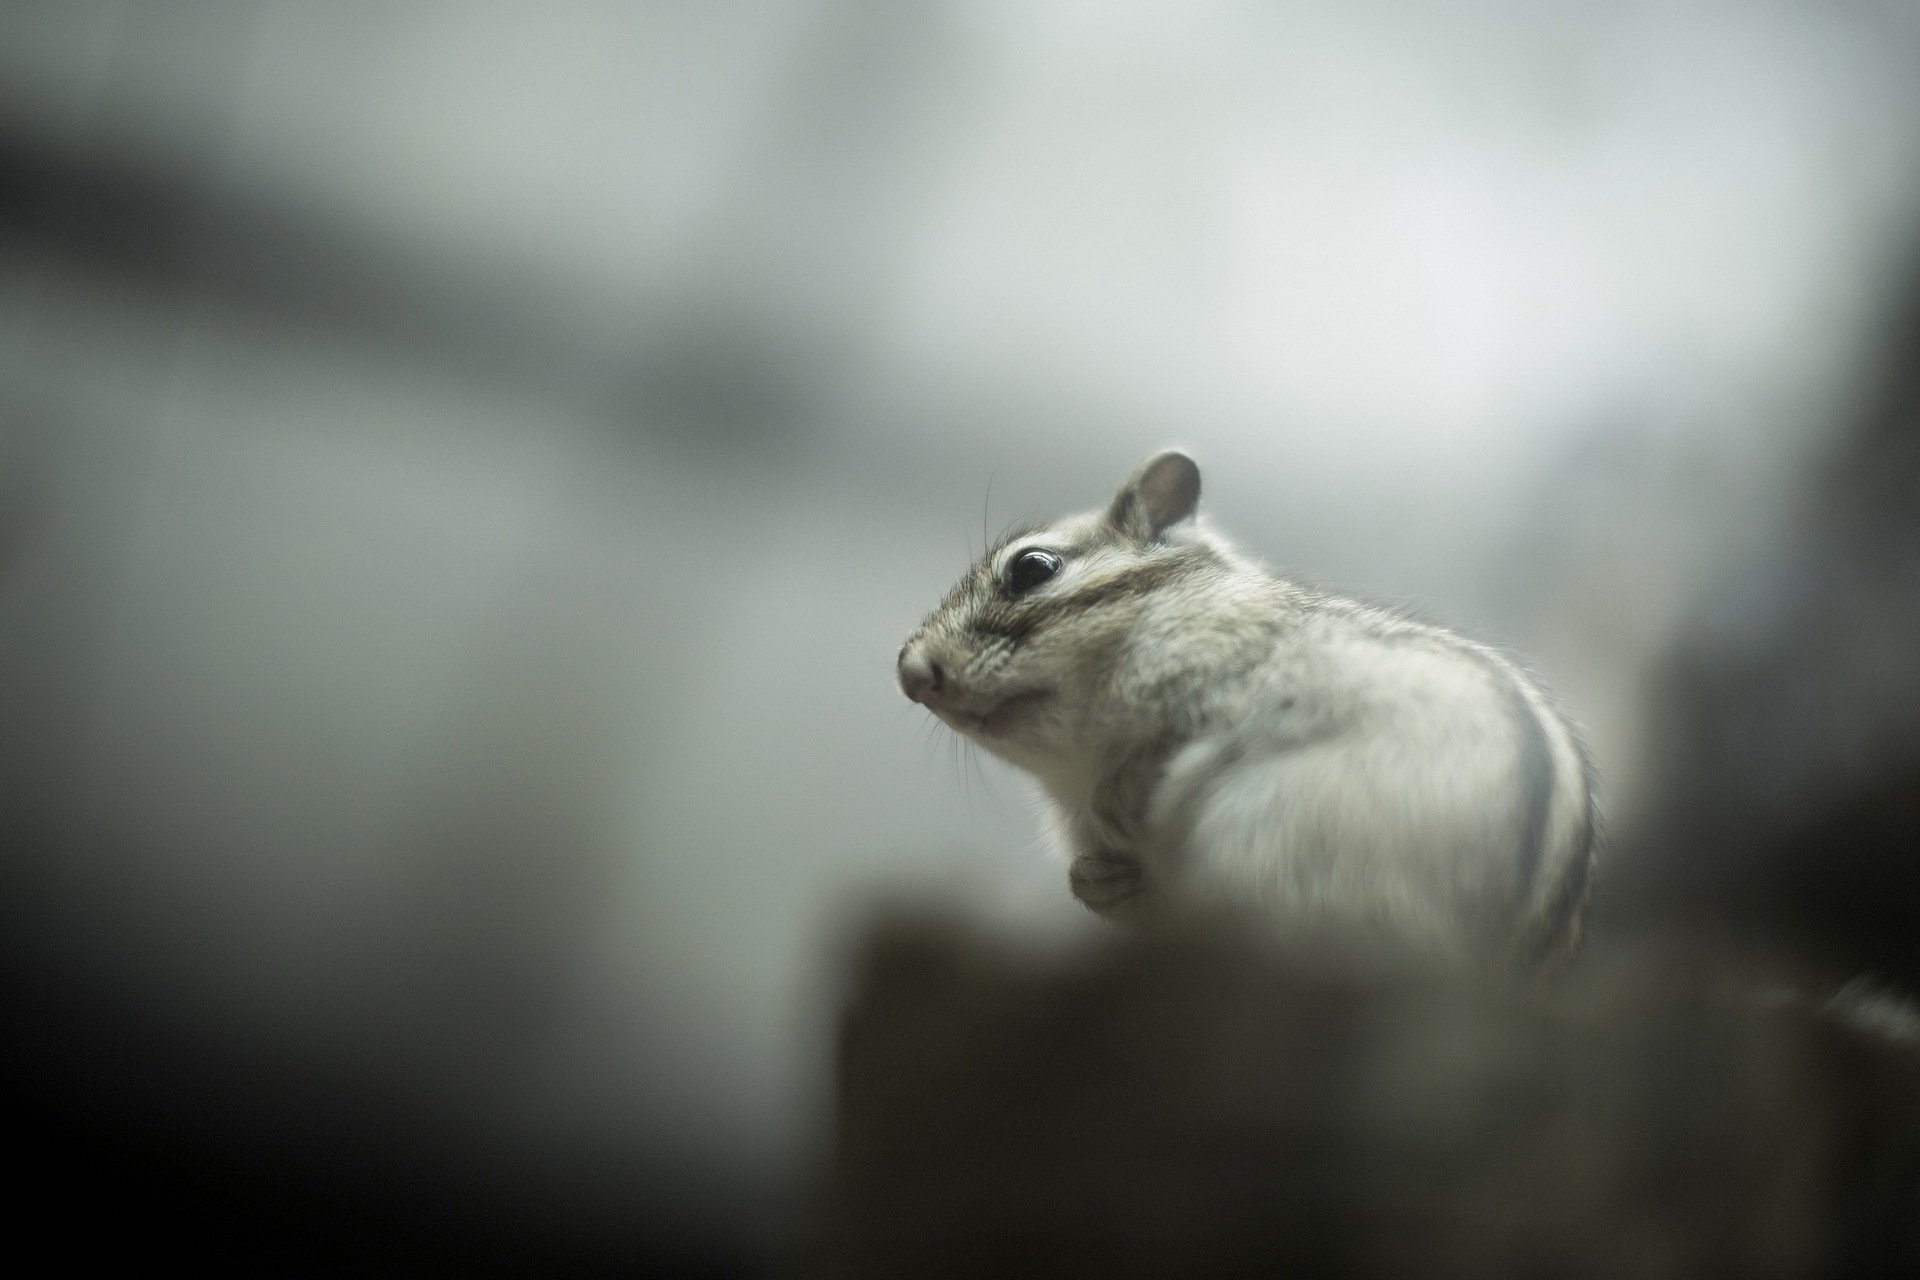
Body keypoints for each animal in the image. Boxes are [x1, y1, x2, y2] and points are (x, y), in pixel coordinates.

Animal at [897, 450, 1598, 966]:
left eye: (1033, 567)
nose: (910, 673)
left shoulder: (1217, 676)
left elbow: (1170, 750)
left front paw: (1126, 802)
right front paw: (1095, 878)